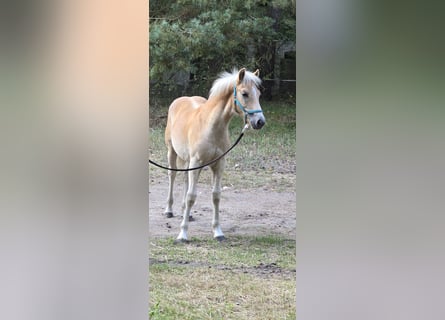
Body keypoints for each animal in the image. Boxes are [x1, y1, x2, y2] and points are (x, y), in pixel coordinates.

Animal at [164, 68, 266, 242]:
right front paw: (183, 234)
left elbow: (216, 196)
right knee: (172, 176)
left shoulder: (219, 164)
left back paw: (186, 213)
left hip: (188, 160)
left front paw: (218, 232)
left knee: (185, 179)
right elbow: (191, 196)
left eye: (258, 94)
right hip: (172, 152)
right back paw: (169, 210)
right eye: (245, 94)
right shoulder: (197, 163)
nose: (260, 122)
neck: (210, 126)